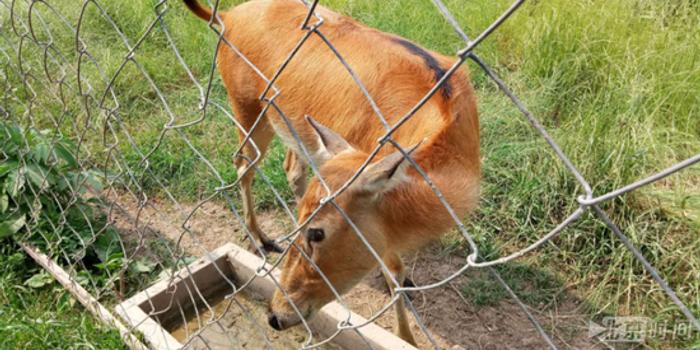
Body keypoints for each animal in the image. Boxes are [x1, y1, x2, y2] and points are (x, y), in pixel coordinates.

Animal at [183, 0, 482, 344]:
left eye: (317, 232)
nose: (275, 315)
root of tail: (226, 17)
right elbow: (392, 272)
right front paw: (405, 337)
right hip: (247, 106)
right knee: (244, 164)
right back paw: (260, 239)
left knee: (288, 167)